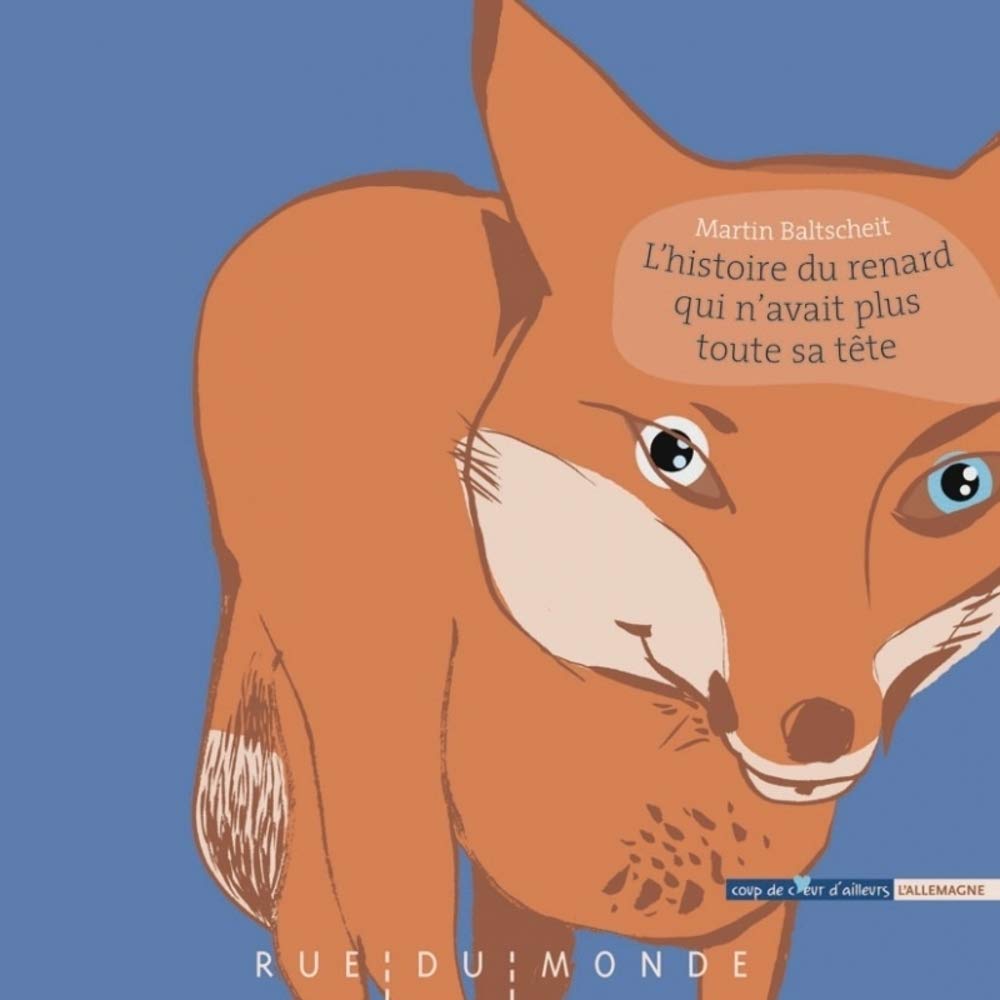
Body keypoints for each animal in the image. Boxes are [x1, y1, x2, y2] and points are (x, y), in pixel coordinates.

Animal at [191, 1, 1000, 997]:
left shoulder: (741, 911)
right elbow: (407, 938)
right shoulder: (410, 814)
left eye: (959, 485)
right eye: (672, 454)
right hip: (334, 700)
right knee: (313, 919)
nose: (816, 729)